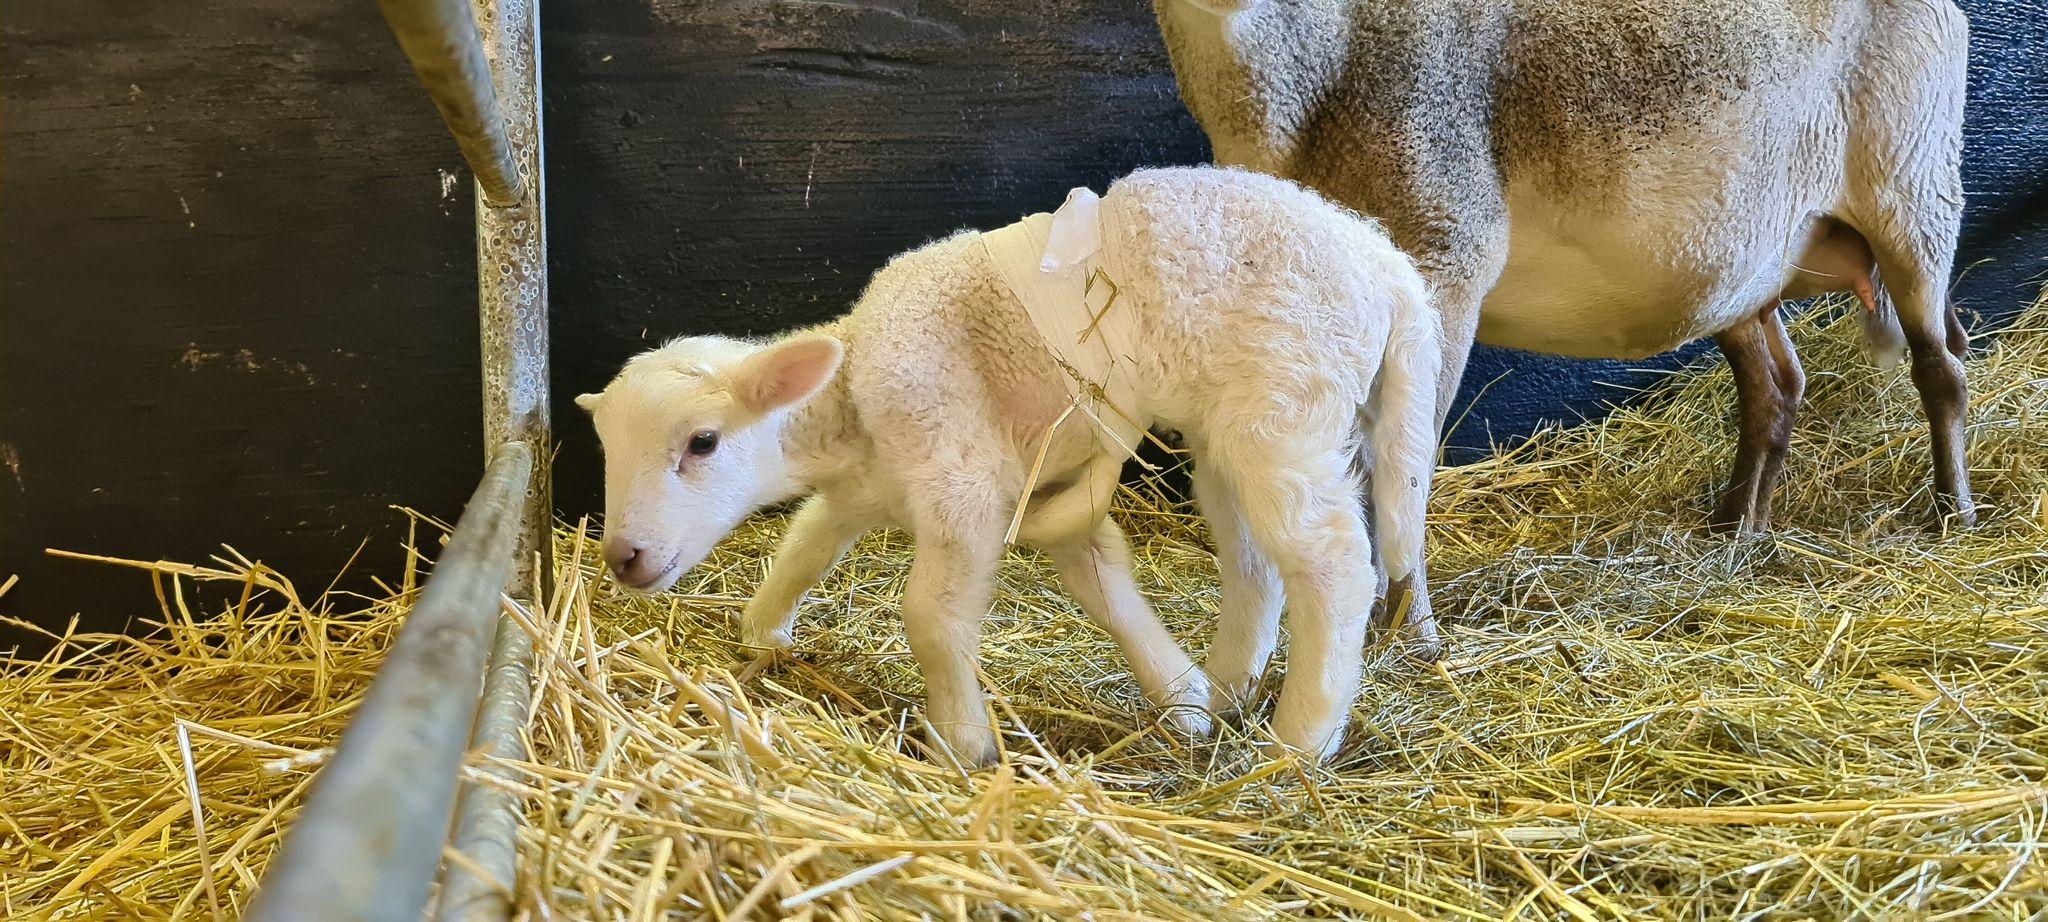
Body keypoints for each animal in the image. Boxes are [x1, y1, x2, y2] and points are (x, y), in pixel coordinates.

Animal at [577, 165, 1441, 762]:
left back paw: (1298, 741)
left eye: (702, 442)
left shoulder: (962, 483)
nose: (624, 557)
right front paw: (1183, 697)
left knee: (1333, 565)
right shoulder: (900, 488)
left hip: (1285, 405)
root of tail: (1390, 271)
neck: (853, 401)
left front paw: (963, 743)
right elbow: (809, 544)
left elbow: (930, 619)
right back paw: (1231, 689)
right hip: (1233, 432)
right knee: (1254, 560)